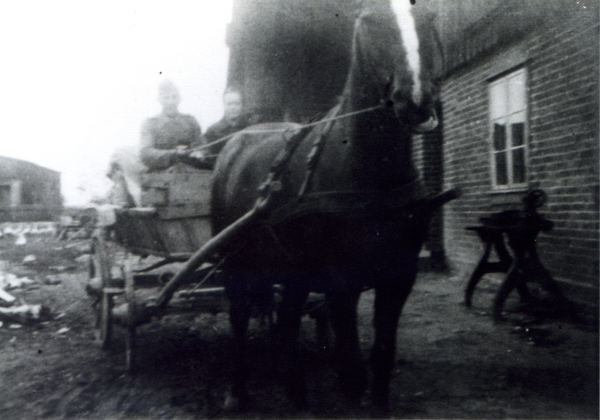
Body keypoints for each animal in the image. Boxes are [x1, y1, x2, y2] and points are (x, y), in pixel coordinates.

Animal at [211, 0, 450, 414]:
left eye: (430, 16)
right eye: (369, 21)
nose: (416, 101)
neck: (369, 170)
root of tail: (237, 141)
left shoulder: (399, 275)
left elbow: (382, 355)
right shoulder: (341, 283)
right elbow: (351, 370)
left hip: (290, 269)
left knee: (287, 320)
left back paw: (297, 395)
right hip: (235, 262)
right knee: (238, 317)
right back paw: (236, 391)